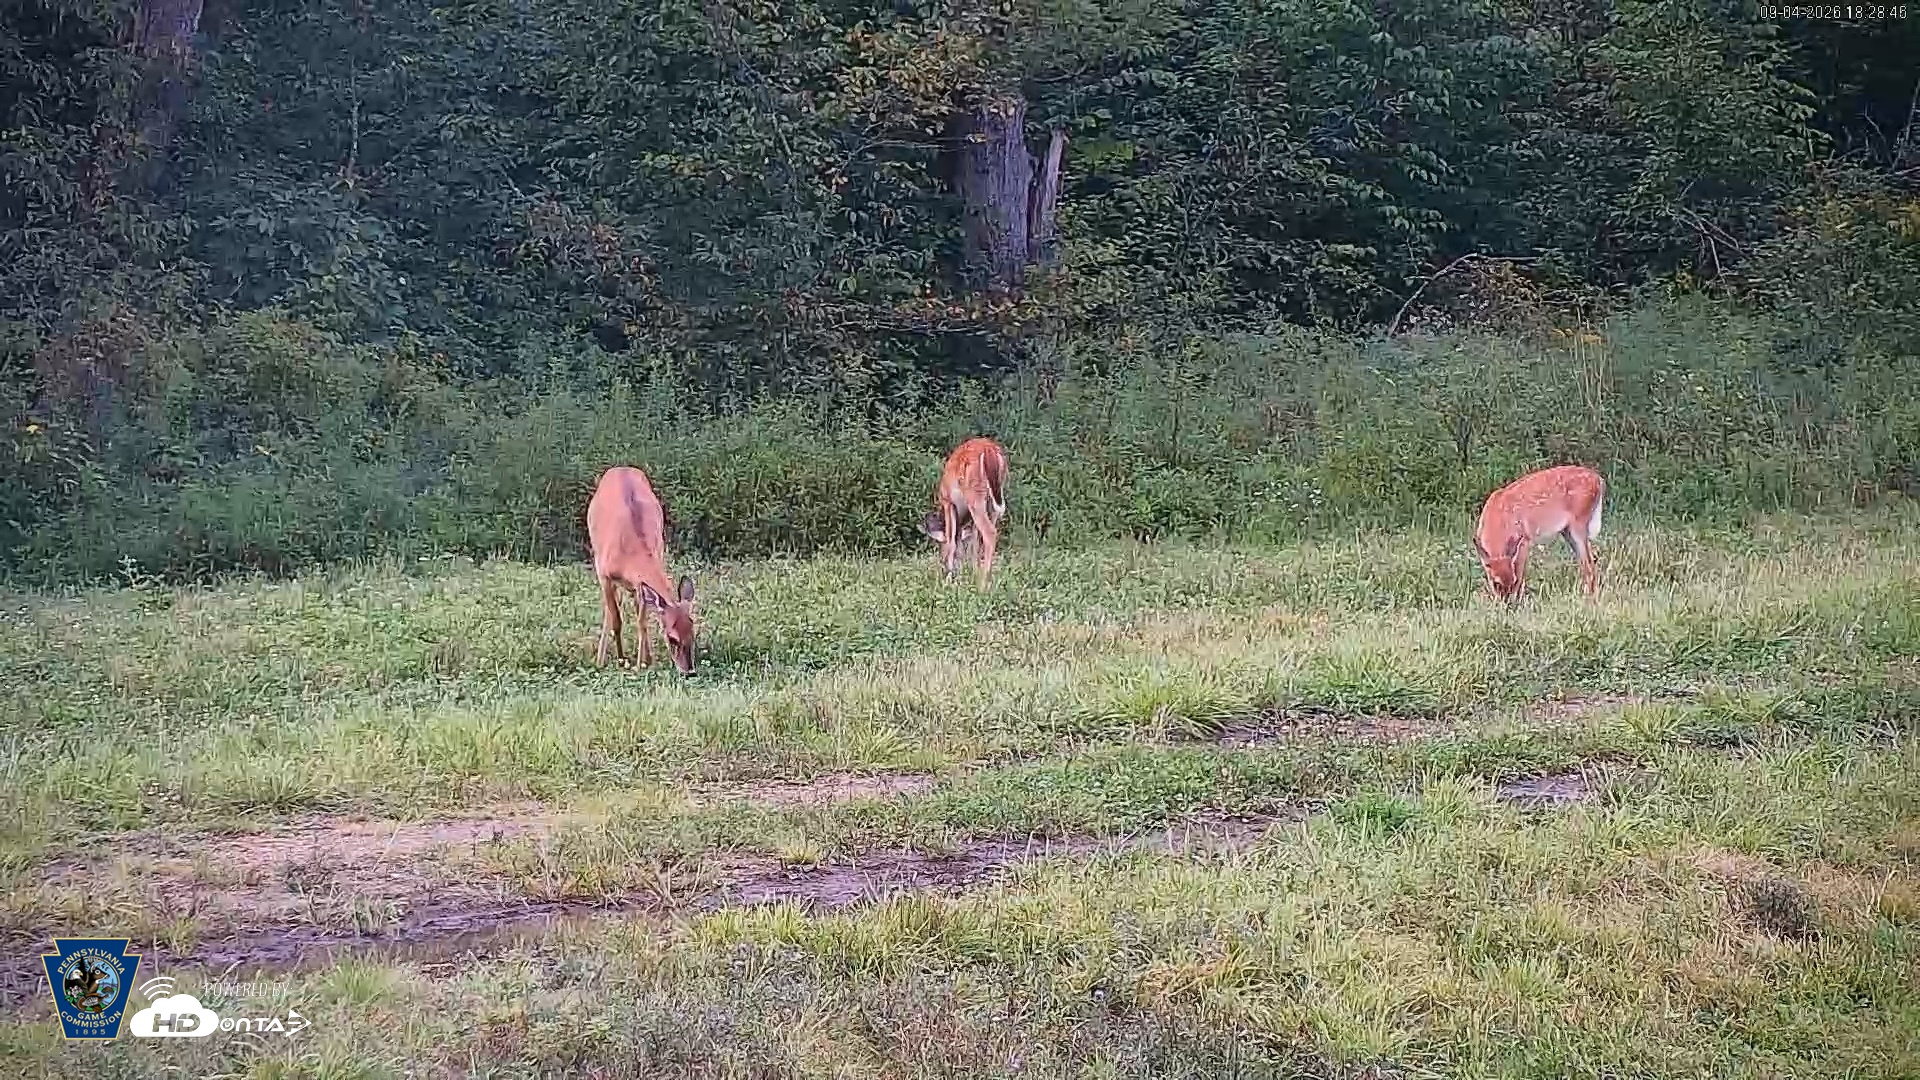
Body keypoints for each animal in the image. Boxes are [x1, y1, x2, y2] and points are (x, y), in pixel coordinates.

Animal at [586, 465, 698, 674]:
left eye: (692, 631)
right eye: (672, 638)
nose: (689, 670)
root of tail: (620, 467)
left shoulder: (642, 580)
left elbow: (642, 621)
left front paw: (644, 662)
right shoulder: (604, 574)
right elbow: (617, 619)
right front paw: (622, 660)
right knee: (610, 609)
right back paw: (600, 659)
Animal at [921, 436, 1009, 587]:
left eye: (939, 544)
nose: (941, 563)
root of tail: (989, 450)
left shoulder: (948, 502)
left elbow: (952, 541)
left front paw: (948, 578)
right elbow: (972, 541)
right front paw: (971, 572)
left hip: (974, 494)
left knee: (989, 532)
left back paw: (984, 584)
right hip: (993, 500)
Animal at [1472, 464, 1607, 603]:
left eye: (1512, 581)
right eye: (1495, 583)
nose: (1506, 602)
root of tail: (1599, 480)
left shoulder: (1524, 540)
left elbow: (1520, 575)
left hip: (1579, 523)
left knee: (1590, 565)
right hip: (1567, 531)